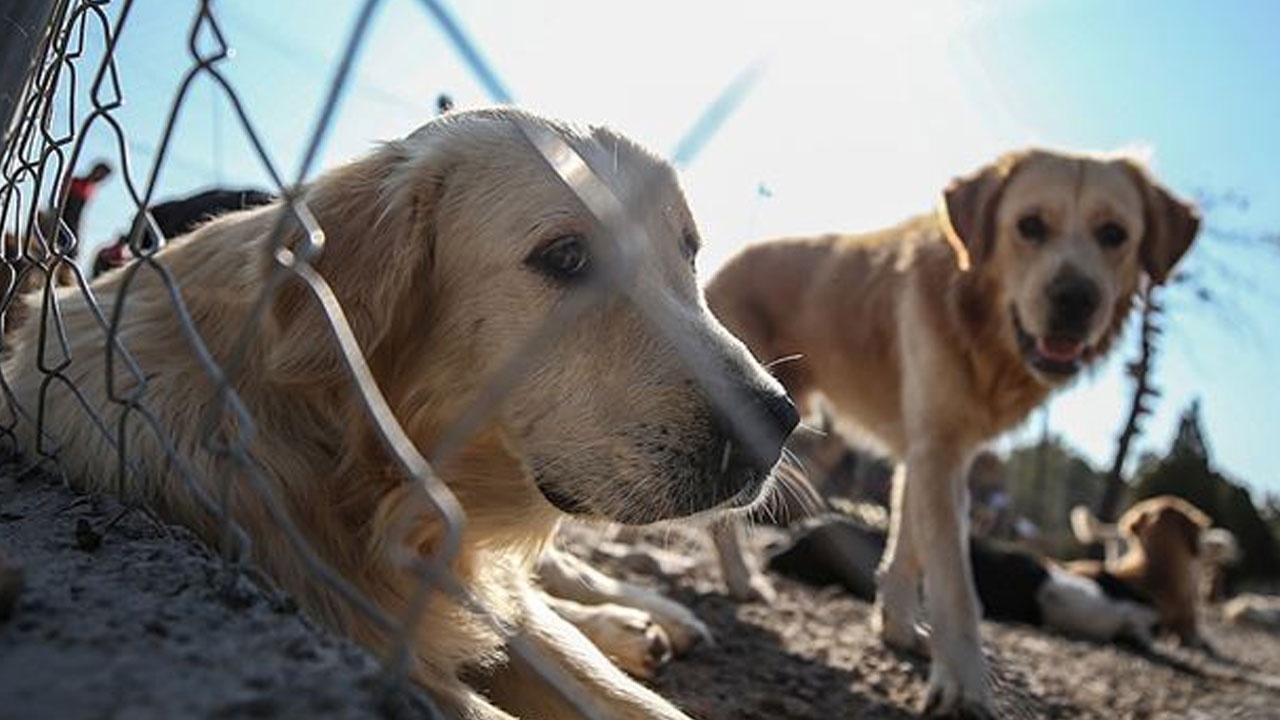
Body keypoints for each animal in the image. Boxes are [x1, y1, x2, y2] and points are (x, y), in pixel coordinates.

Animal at [711, 147, 1198, 712]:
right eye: (1030, 226)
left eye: (1114, 234)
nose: (1075, 300)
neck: (980, 325)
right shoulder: (937, 453)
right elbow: (955, 583)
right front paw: (965, 682)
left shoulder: (929, 453)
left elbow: (907, 549)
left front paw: (899, 630)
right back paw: (741, 580)